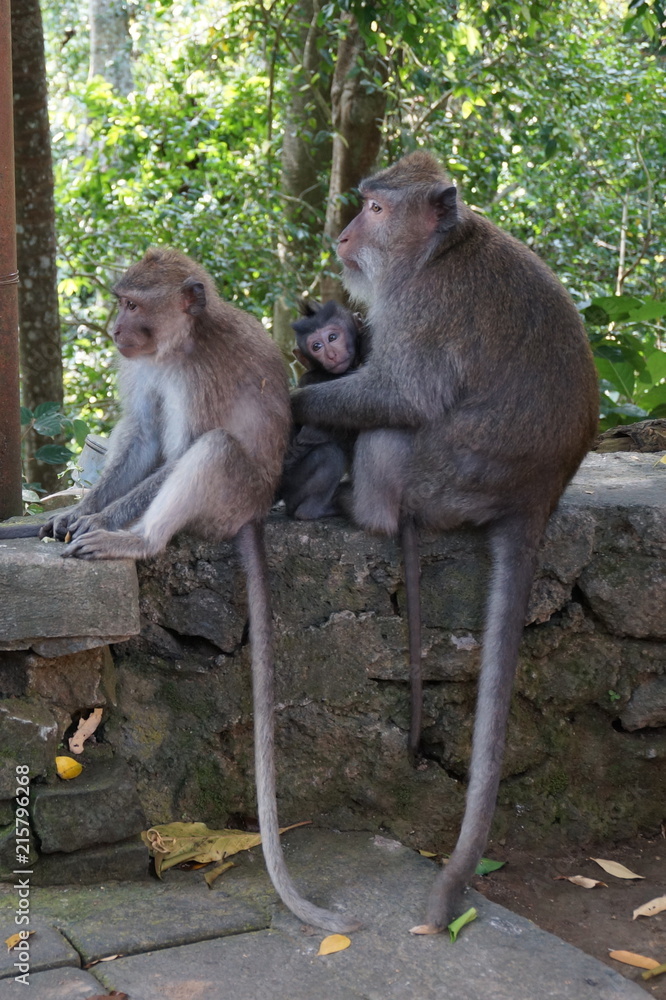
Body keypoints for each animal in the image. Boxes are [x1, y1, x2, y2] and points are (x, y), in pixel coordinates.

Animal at [278, 299, 364, 520]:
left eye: (332, 337)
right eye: (316, 346)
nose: (332, 355)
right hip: (292, 488)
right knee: (329, 453)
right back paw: (315, 510)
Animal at [291, 152, 599, 933]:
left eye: (374, 208)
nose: (343, 234)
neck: (437, 253)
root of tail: (536, 496)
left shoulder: (425, 309)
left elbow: (403, 393)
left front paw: (299, 404)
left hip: (439, 480)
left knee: (392, 430)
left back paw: (359, 506)